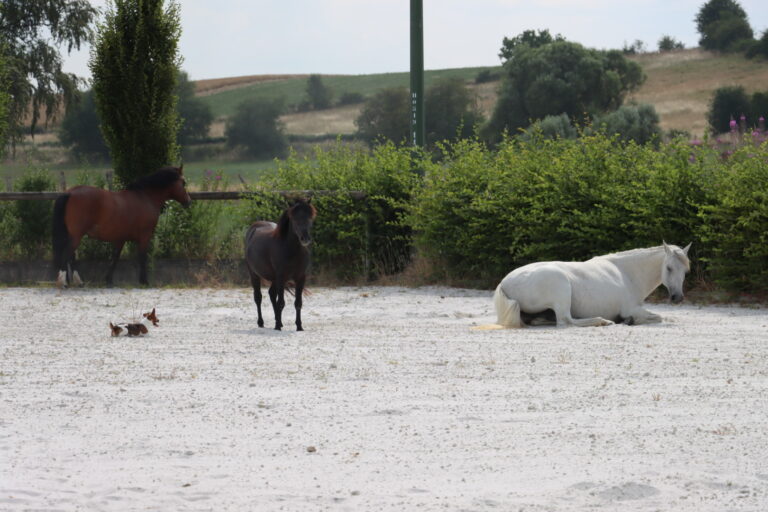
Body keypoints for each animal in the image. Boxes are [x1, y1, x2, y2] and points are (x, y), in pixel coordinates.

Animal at [52, 166, 191, 287]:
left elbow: (115, 257)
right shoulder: (145, 236)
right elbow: (142, 257)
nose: (188, 201)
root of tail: (70, 193)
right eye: (183, 182)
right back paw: (64, 283)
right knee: (66, 255)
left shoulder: (120, 238)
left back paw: (78, 282)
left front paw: (108, 280)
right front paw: (144, 281)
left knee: (71, 257)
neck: (145, 197)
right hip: (76, 236)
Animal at [244, 199, 316, 331]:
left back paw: (279, 321)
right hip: (254, 275)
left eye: (310, 218)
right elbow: (281, 303)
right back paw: (261, 322)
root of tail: (254, 227)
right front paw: (277, 326)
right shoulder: (281, 277)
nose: (305, 238)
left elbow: (298, 303)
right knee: (258, 298)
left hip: (274, 279)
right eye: (294, 219)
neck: (291, 249)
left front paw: (299, 326)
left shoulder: (300, 278)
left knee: (272, 294)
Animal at [492, 242, 692, 328]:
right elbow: (658, 317)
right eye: (669, 268)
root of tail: (504, 282)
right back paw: (602, 321)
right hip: (560, 289)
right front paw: (629, 320)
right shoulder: (632, 309)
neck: (626, 273)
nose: (678, 298)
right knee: (566, 320)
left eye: (686, 270)